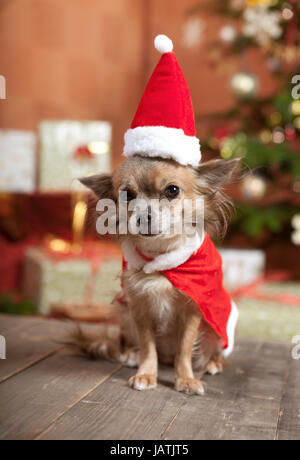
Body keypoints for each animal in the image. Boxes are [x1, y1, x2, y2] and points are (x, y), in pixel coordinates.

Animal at [69, 155, 240, 396]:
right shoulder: (139, 309)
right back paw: (131, 355)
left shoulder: (192, 310)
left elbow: (184, 349)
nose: (143, 217)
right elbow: (148, 346)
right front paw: (147, 374)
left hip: (215, 329)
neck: (160, 257)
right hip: (125, 314)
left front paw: (186, 379)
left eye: (172, 190)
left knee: (213, 351)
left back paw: (213, 363)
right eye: (126, 194)